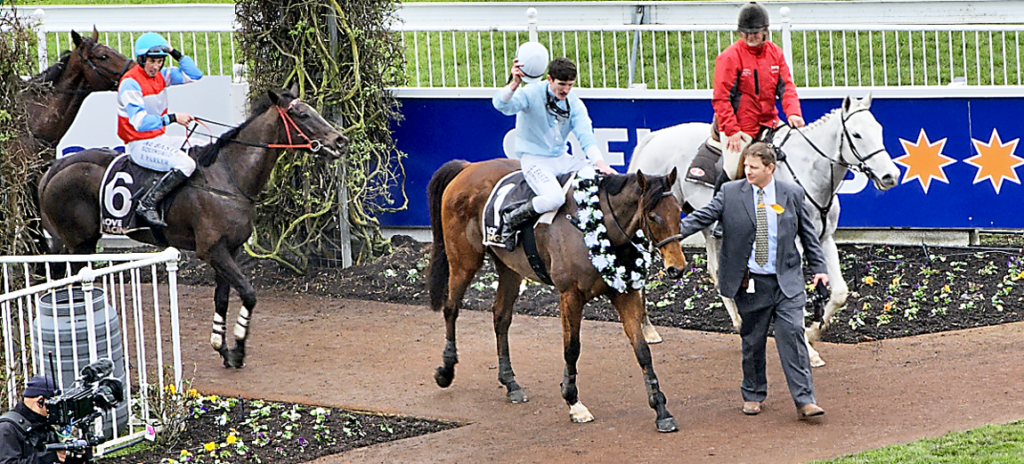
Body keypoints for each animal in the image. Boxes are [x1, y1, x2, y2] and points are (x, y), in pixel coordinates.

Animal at [37, 88, 348, 366]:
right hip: (80, 242)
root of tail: (55, 167)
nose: (340, 140)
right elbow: (248, 293)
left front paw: (223, 348)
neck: (228, 176)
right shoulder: (212, 250)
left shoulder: (229, 249)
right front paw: (238, 347)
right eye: (302, 114)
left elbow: (222, 298)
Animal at [428, 157, 684, 432]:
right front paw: (574, 402)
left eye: (679, 210)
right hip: (464, 260)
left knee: (501, 317)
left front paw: (661, 410)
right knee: (451, 308)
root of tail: (469, 166)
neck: (598, 226)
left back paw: (511, 383)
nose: (677, 268)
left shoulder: (624, 293)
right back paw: (446, 371)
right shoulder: (570, 294)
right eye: (653, 216)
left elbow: (642, 350)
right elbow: (572, 348)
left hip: (509, 269)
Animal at [626, 94, 901, 364]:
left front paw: (812, 334)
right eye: (857, 134)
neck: (806, 172)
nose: (890, 176)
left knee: (715, 270)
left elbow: (840, 293)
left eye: (879, 129)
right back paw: (648, 328)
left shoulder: (824, 239)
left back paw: (738, 321)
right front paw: (807, 347)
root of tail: (653, 138)